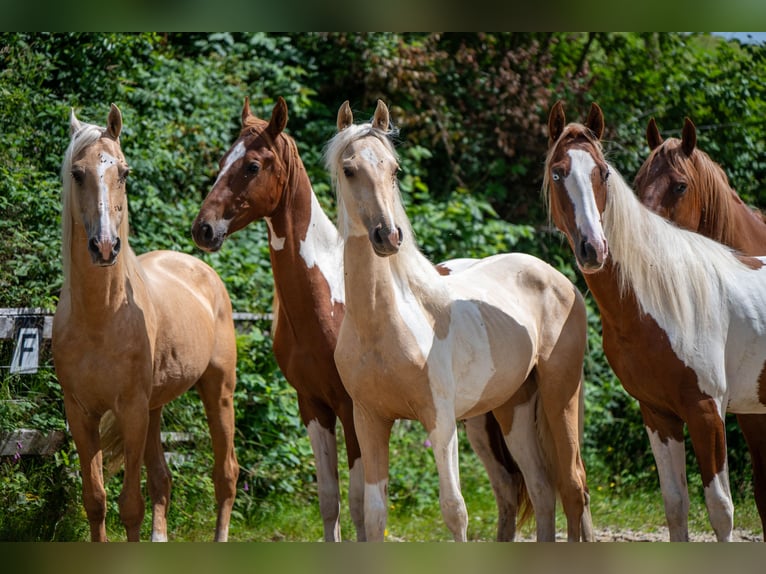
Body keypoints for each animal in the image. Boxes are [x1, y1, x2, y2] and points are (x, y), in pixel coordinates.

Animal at [52, 104, 239, 542]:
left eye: (123, 172)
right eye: (77, 173)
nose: (105, 246)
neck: (101, 317)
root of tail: (200, 268)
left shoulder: (132, 411)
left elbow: (130, 506)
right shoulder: (81, 414)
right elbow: (96, 500)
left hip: (218, 392)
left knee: (226, 474)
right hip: (156, 407)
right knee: (162, 479)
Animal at [191, 97, 536, 541]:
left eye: (251, 166)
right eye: (222, 161)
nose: (204, 229)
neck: (327, 298)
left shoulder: (349, 407)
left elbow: (357, 503)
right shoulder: (313, 405)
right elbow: (330, 500)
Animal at [327, 99, 592, 542]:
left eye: (393, 169)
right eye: (349, 169)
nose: (388, 236)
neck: (382, 327)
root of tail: (563, 283)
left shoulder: (440, 421)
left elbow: (454, 510)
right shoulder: (369, 421)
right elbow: (375, 514)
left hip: (560, 399)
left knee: (573, 486)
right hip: (513, 410)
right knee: (541, 488)